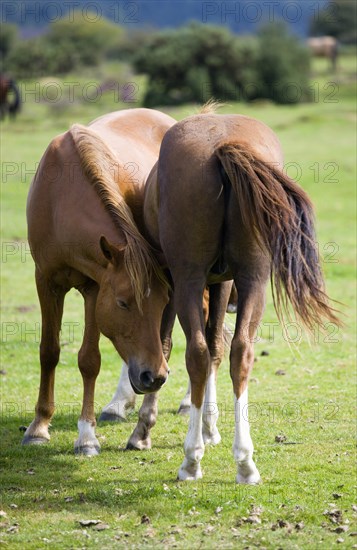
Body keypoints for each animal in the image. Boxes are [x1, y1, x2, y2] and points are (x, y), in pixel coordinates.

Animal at [21, 109, 175, 458]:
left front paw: (86, 437)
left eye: (161, 302)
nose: (155, 376)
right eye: (123, 302)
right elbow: (49, 351)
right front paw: (38, 427)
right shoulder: (45, 280)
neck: (62, 200)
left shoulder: (94, 288)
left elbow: (89, 361)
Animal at [136, 112, 336, 484]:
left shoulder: (178, 280)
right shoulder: (224, 281)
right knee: (239, 351)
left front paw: (145, 431)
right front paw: (210, 427)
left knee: (197, 353)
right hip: (252, 279)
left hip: (188, 279)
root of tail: (221, 145)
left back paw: (191, 459)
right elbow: (217, 345)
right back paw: (244, 461)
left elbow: (168, 344)